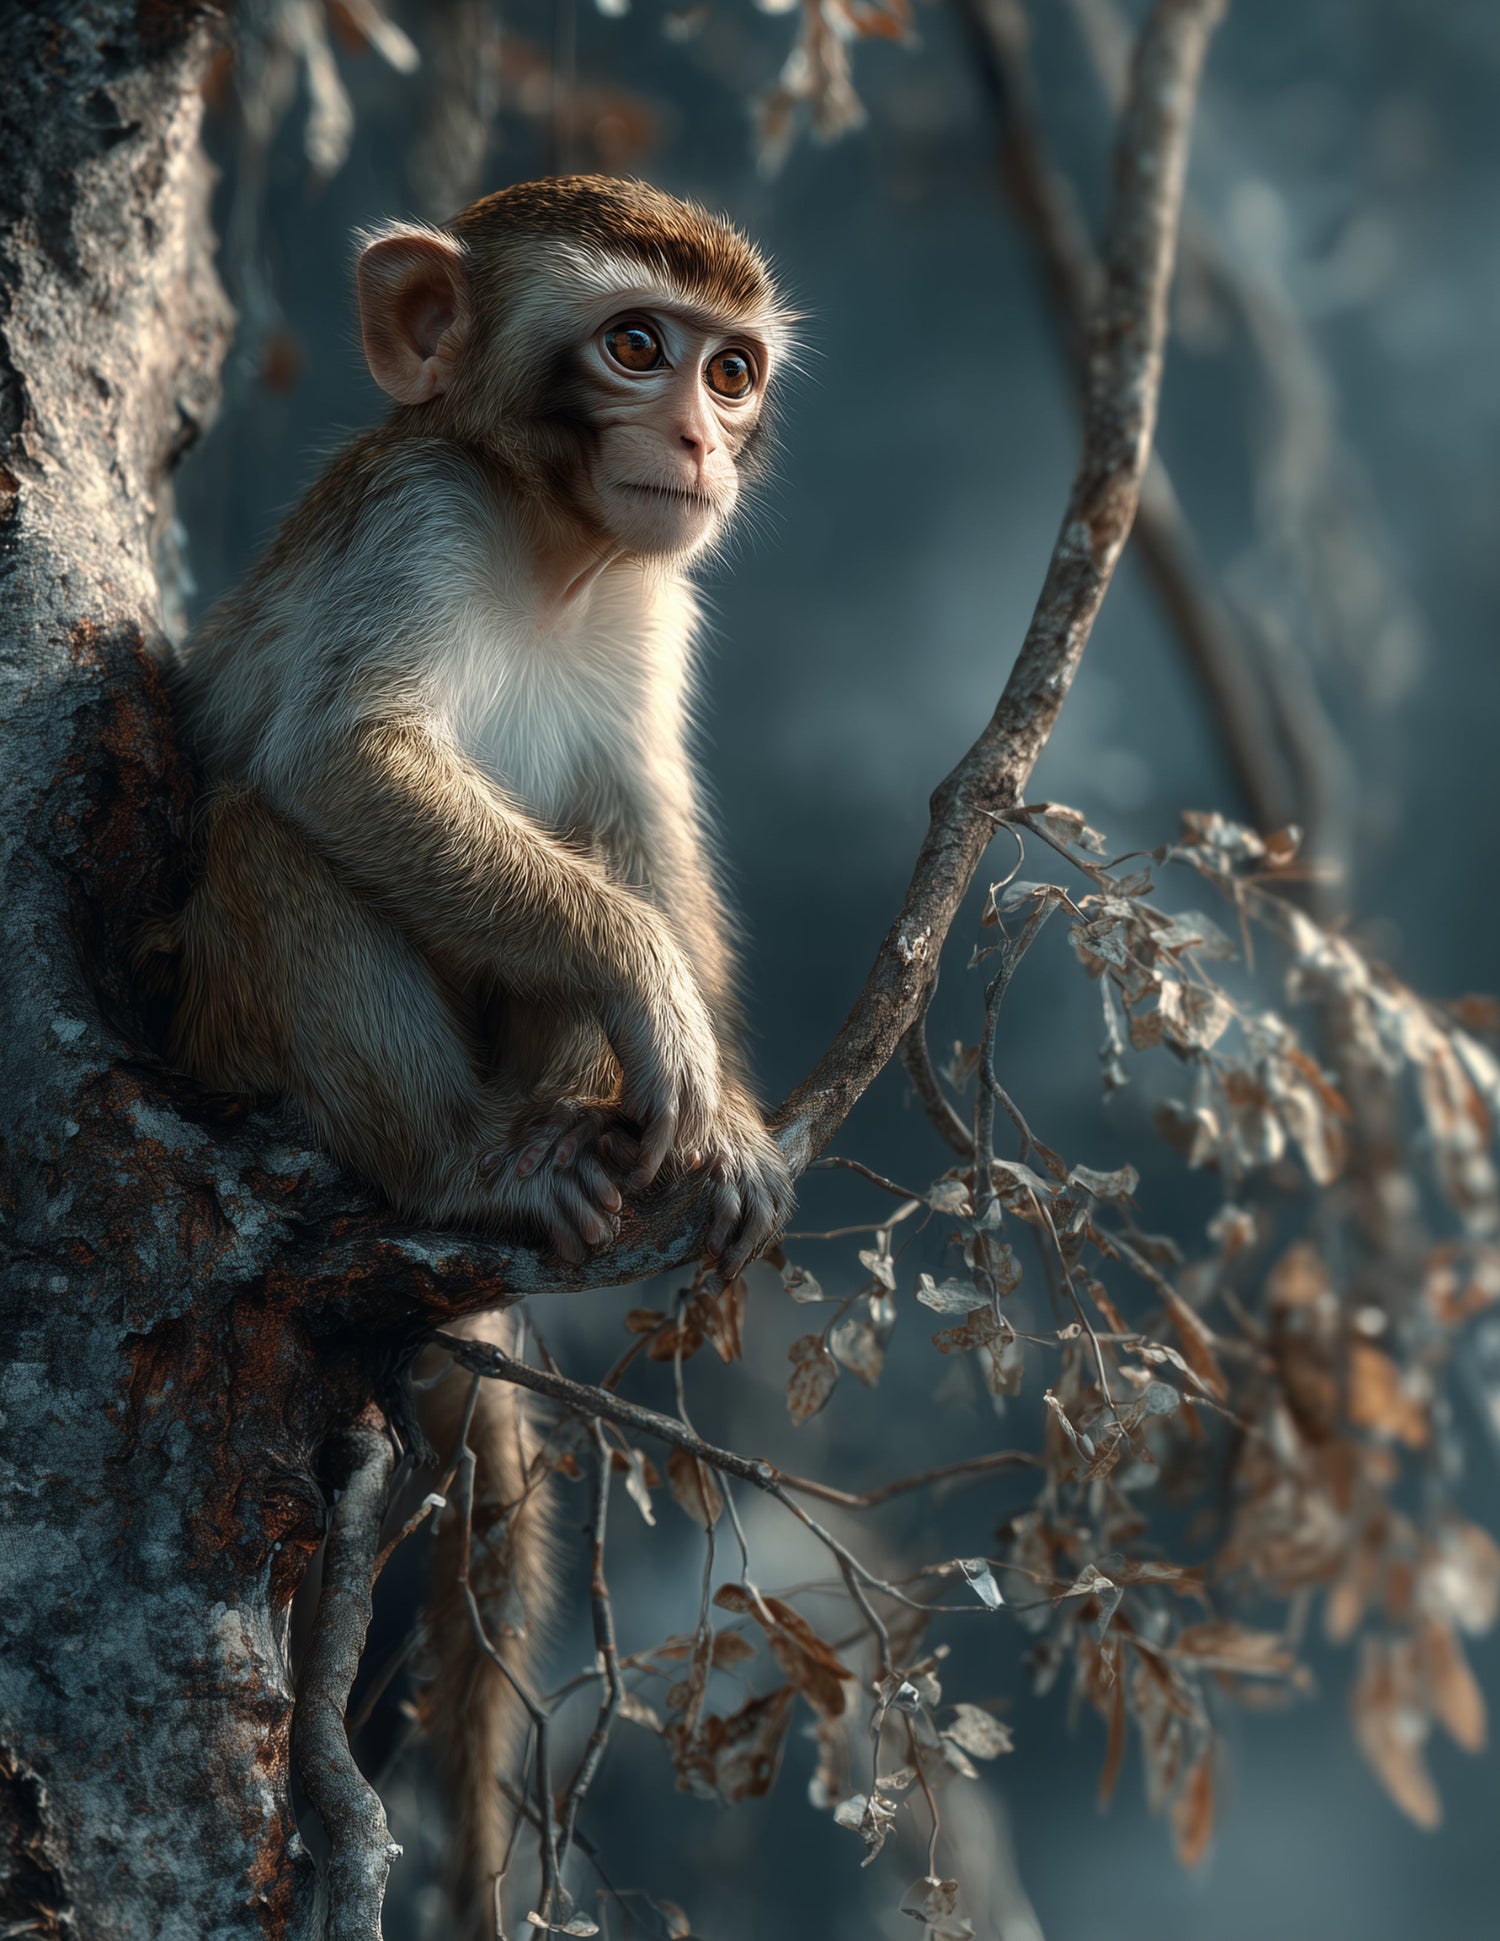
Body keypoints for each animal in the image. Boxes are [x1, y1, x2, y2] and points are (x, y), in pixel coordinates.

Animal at [152, 175, 797, 1934]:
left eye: (731, 371)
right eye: (637, 345)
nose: (699, 442)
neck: (551, 550)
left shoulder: (657, 594)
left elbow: (646, 822)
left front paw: (722, 1112)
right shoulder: (415, 517)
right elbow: (344, 758)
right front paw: (651, 1000)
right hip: (235, 1044)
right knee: (268, 836)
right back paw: (470, 1164)